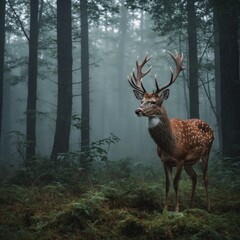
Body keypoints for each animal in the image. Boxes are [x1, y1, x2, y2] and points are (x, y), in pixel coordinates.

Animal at [128, 51, 215, 212]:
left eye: (154, 102)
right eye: (141, 101)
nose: (138, 110)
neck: (170, 144)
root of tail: (210, 127)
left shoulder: (180, 159)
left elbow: (175, 183)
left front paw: (176, 209)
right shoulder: (165, 161)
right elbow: (167, 184)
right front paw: (164, 209)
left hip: (206, 152)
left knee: (205, 177)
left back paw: (208, 206)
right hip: (189, 162)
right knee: (194, 176)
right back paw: (191, 205)